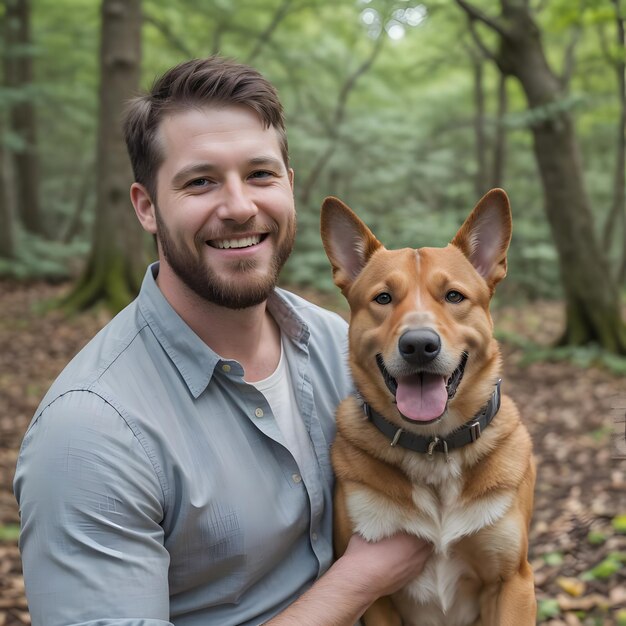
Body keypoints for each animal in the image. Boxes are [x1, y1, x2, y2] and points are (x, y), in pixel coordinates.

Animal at [320, 189, 532, 624]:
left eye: (454, 296)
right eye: (383, 298)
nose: (419, 345)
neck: (435, 446)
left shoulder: (514, 582)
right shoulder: (375, 591)